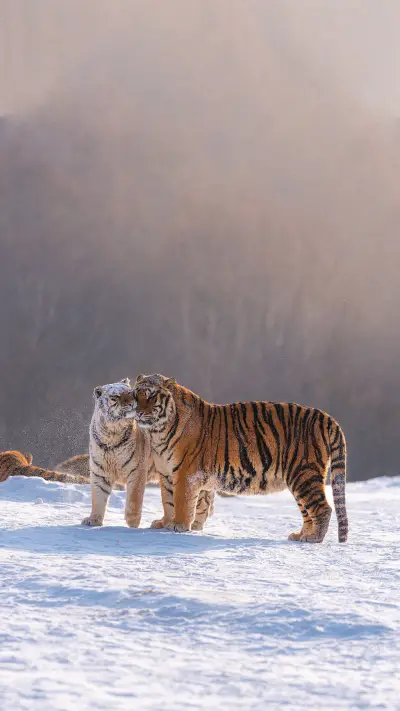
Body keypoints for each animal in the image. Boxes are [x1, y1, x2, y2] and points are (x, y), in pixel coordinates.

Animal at [82, 378, 215, 529]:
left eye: (130, 393)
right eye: (115, 397)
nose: (130, 404)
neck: (112, 434)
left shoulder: (136, 471)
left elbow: (134, 499)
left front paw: (132, 524)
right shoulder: (99, 473)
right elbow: (98, 498)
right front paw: (93, 520)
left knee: (202, 502)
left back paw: (195, 525)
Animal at [120, 373, 348, 543]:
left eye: (151, 396)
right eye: (136, 395)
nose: (137, 412)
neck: (158, 432)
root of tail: (324, 416)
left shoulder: (185, 474)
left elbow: (181, 501)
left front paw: (179, 526)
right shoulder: (166, 474)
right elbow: (167, 501)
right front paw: (165, 523)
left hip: (303, 474)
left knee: (323, 508)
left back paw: (314, 538)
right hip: (299, 479)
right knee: (307, 511)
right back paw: (300, 536)